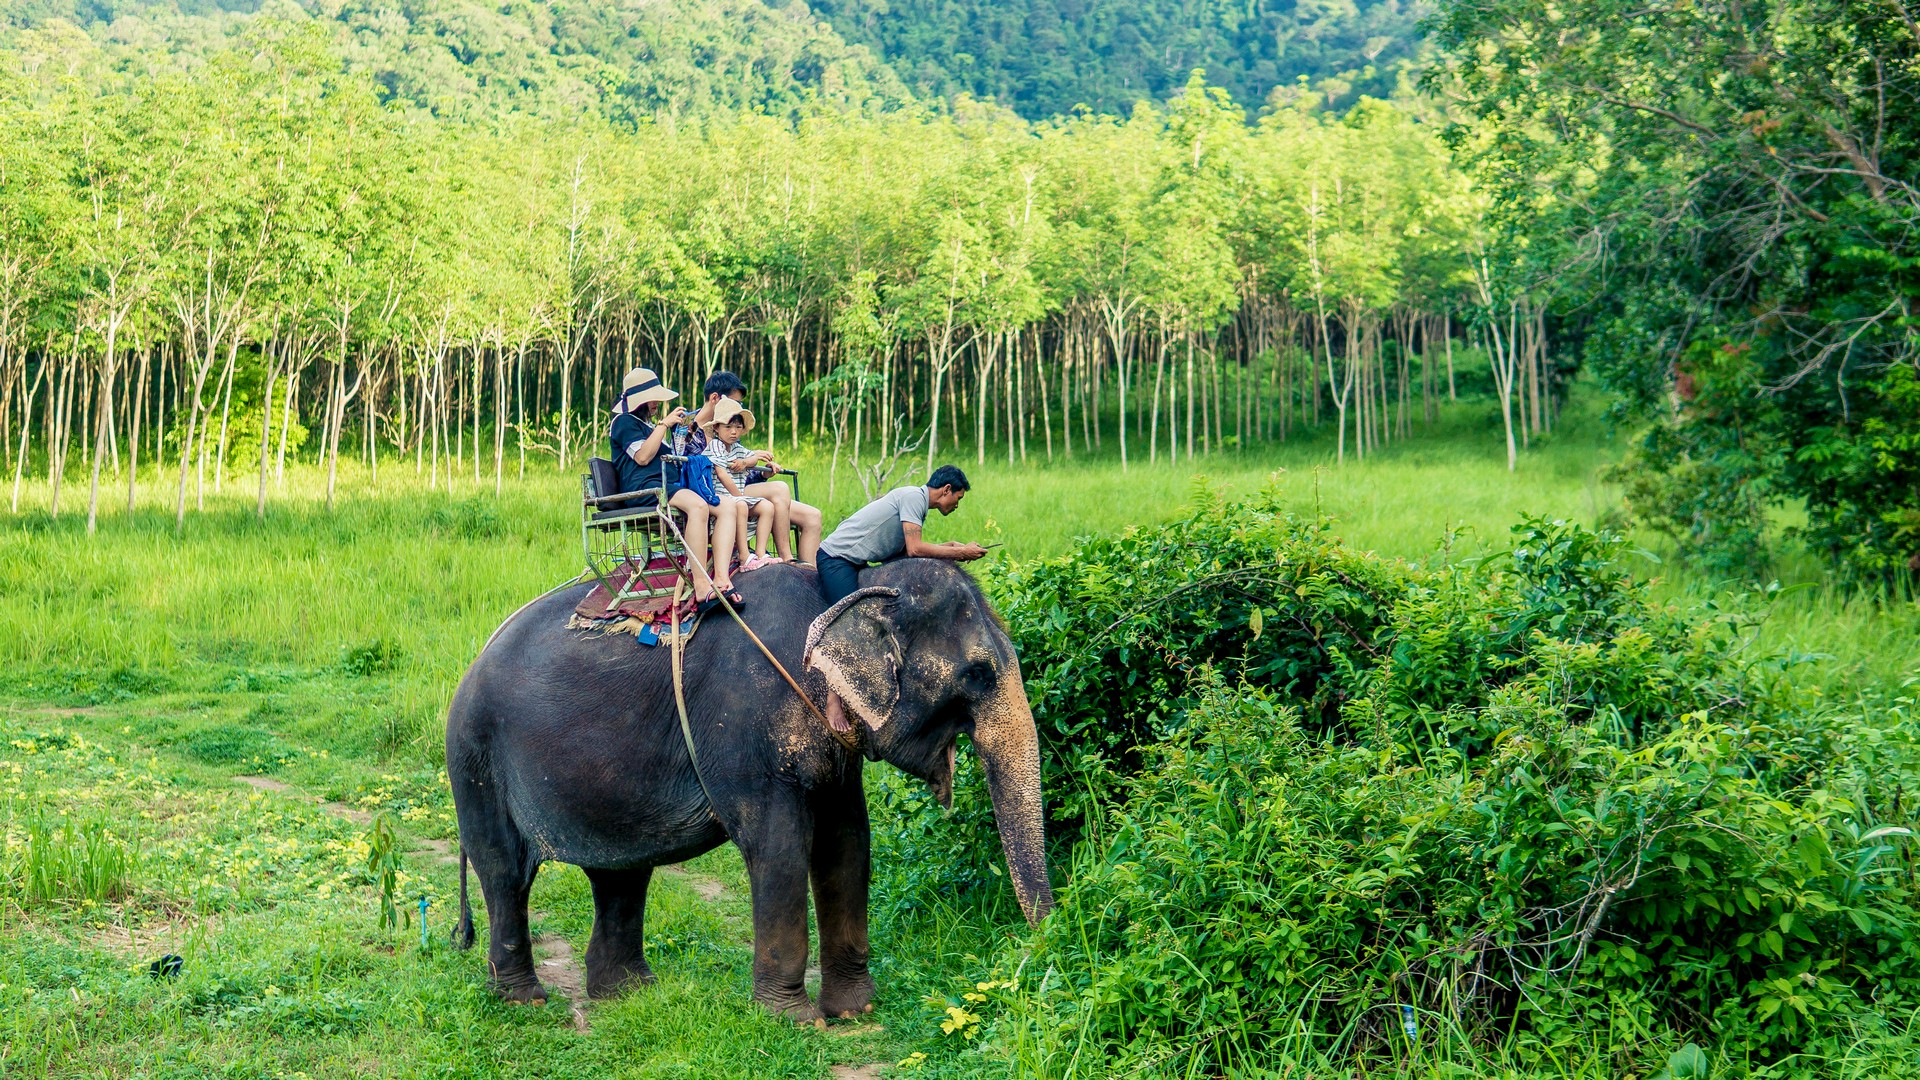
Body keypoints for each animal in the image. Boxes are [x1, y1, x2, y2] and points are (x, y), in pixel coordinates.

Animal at [443, 553, 1059, 1014]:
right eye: (977, 674)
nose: (1039, 950)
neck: (846, 591)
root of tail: (473, 662)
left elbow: (847, 842)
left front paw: (855, 1011)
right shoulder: (744, 724)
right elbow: (779, 844)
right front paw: (791, 1019)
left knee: (621, 874)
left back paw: (628, 996)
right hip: (476, 757)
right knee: (505, 870)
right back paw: (525, 1001)